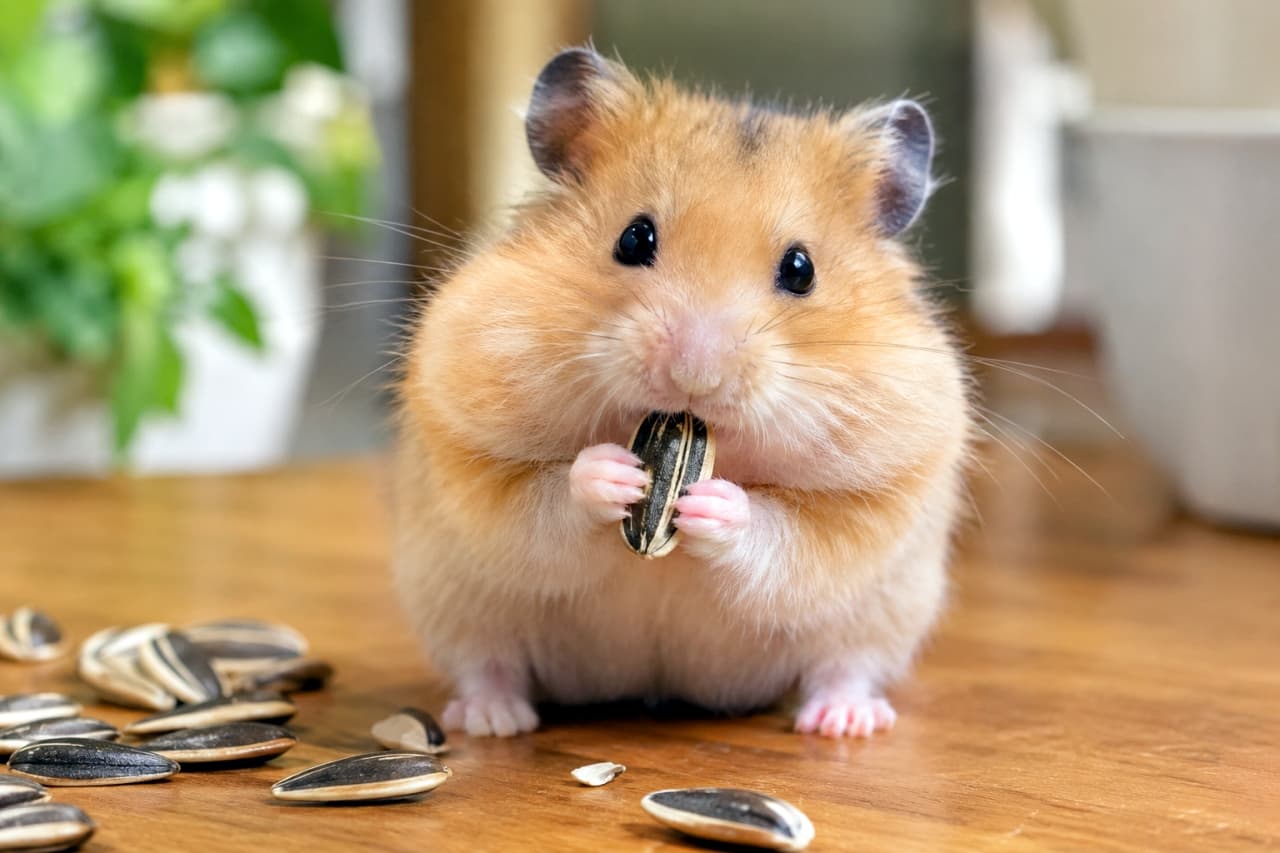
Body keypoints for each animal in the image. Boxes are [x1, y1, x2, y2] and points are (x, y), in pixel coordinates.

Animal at [393, 47, 972, 739]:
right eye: (634, 238)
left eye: (800, 269)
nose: (696, 376)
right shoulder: (467, 446)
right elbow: (543, 498)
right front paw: (615, 474)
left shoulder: (879, 496)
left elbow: (785, 535)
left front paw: (711, 503)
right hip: (455, 603)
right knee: (488, 664)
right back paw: (492, 720)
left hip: (882, 618)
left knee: (844, 668)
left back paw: (844, 721)